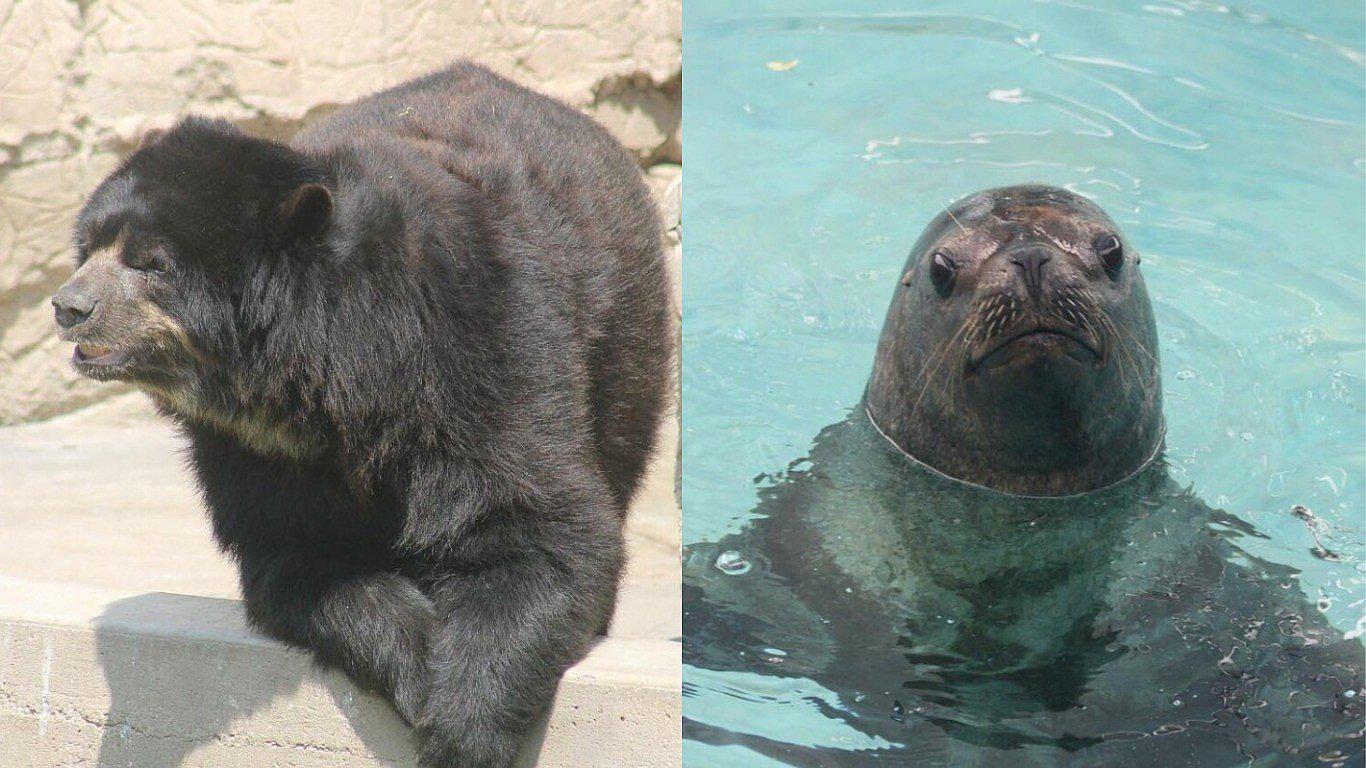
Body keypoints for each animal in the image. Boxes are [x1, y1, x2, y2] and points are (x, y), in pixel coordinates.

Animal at [52, 62, 672, 767]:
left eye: (150, 263)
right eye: (91, 244)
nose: (69, 306)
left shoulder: (485, 341)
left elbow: (538, 525)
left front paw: (462, 729)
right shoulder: (252, 448)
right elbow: (301, 551)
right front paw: (421, 664)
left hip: (622, 340)